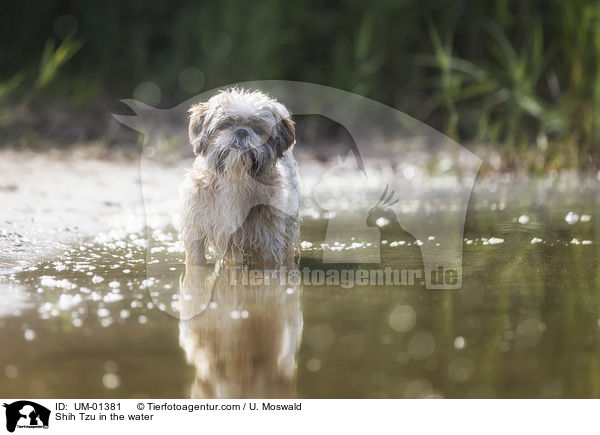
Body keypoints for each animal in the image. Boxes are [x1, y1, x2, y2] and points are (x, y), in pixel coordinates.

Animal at [178, 88, 300, 268]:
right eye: (225, 125)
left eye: (258, 130)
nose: (242, 131)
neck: (235, 178)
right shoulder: (196, 229)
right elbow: (196, 261)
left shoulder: (267, 238)